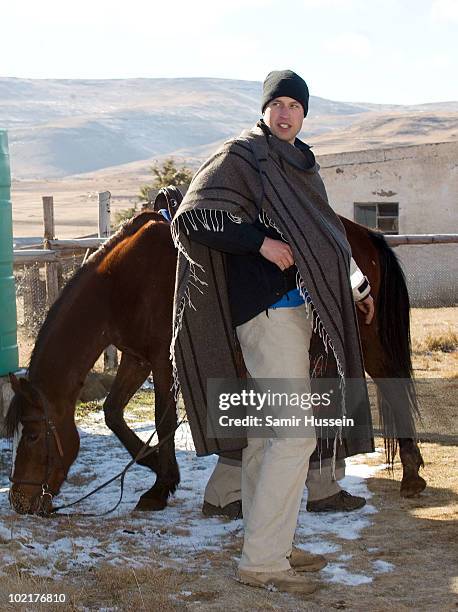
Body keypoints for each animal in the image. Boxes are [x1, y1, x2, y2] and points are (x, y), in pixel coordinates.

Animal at [5, 192, 426, 516]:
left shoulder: (163, 362)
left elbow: (162, 418)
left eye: (32, 435)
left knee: (390, 384)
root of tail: (364, 234)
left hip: (364, 339)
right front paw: (153, 464)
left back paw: (410, 473)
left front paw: (160, 487)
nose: (19, 501)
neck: (122, 284)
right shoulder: (136, 358)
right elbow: (112, 412)